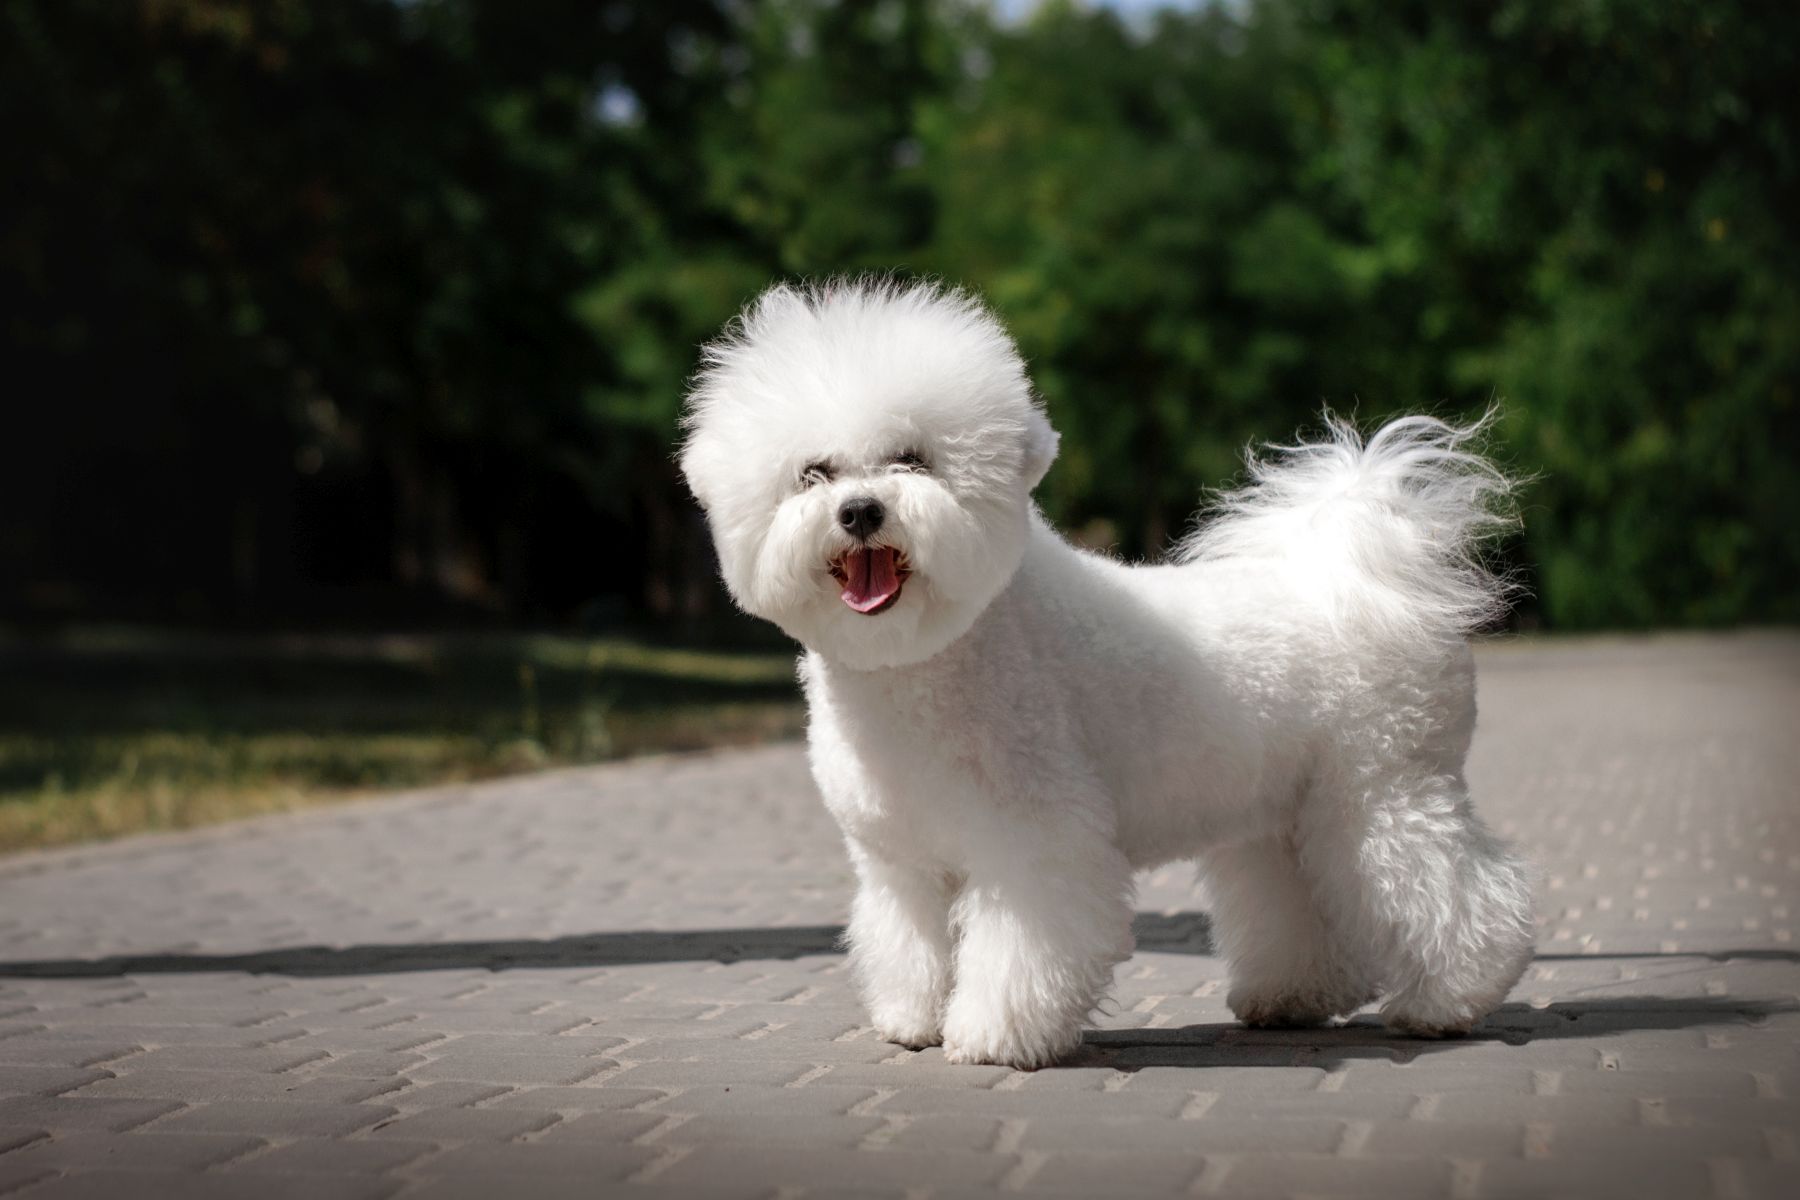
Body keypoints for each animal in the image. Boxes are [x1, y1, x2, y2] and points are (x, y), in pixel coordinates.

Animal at [676, 277, 1533, 1065]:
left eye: (912, 460)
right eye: (814, 473)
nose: (860, 511)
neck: (936, 654)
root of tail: (1356, 578)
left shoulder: (1033, 840)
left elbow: (1020, 946)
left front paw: (991, 1037)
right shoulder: (898, 862)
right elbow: (909, 943)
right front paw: (911, 1020)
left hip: (1385, 790)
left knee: (1454, 892)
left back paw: (1450, 1002)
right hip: (1284, 815)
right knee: (1295, 900)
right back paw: (1292, 997)